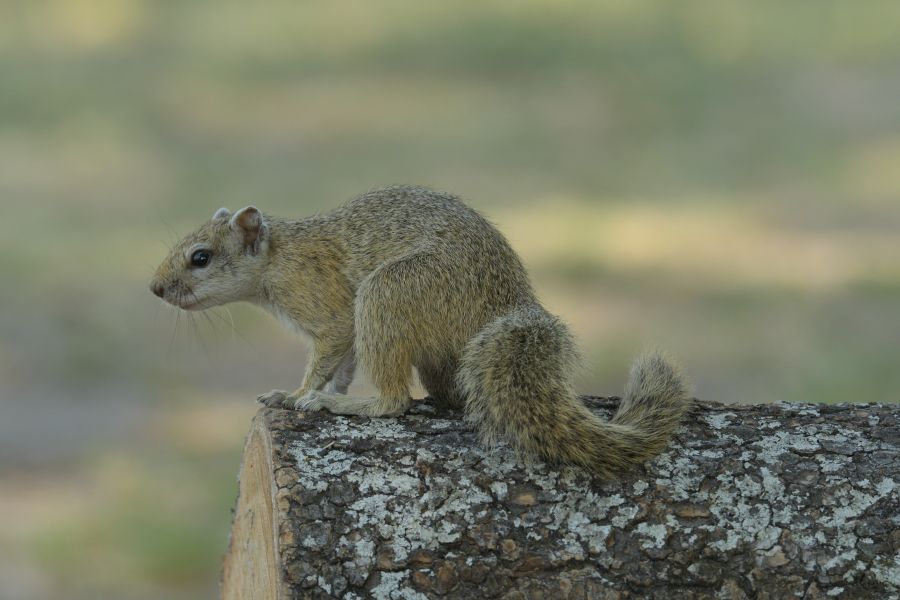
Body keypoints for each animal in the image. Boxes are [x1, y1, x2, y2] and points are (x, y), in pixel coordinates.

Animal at [150, 185, 691, 478]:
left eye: (201, 257)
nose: (155, 288)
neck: (279, 255)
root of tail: (509, 303)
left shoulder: (331, 311)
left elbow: (326, 357)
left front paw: (301, 394)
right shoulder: (344, 334)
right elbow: (342, 365)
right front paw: (325, 390)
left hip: (391, 291)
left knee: (395, 401)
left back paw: (357, 406)